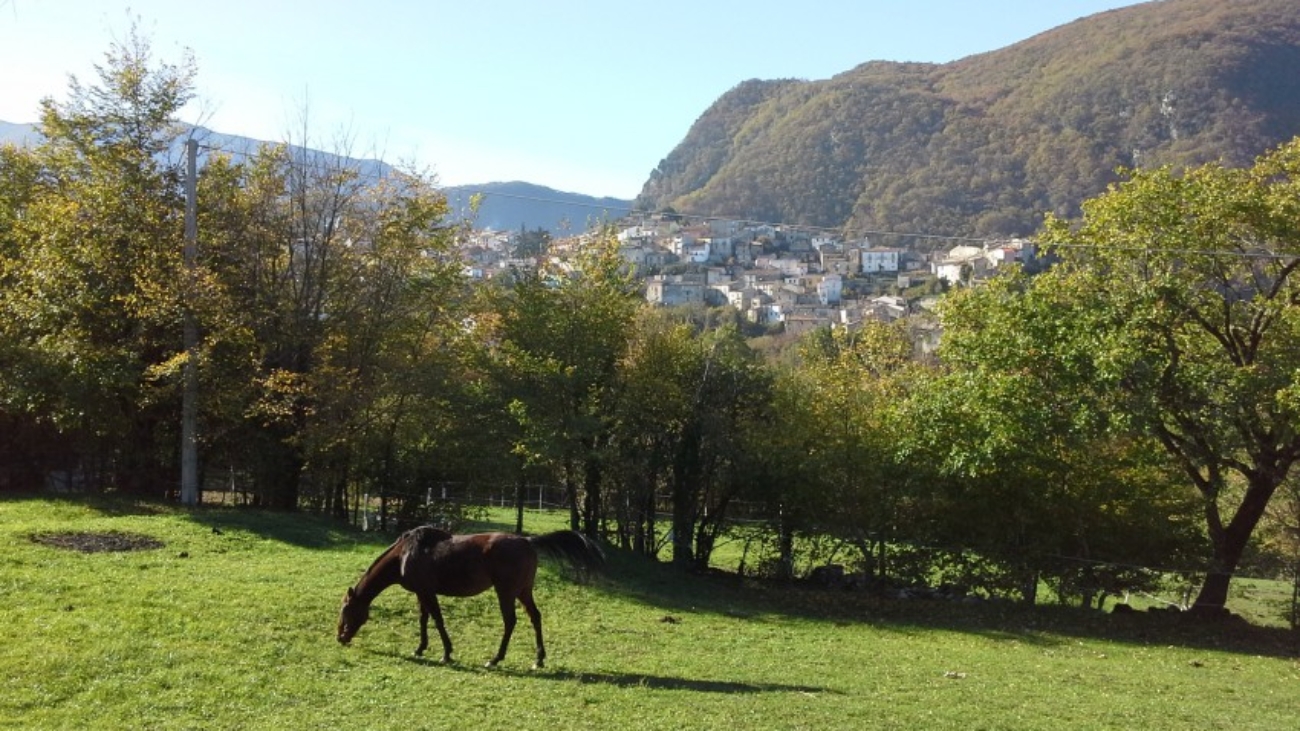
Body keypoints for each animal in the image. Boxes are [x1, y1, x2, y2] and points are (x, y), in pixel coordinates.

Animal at [337, 526, 604, 669]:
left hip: (506, 591)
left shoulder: (427, 592)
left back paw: (495, 659)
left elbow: (437, 620)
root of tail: (527, 541)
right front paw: (420, 648)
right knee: (535, 617)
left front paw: (446, 653)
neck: (405, 554)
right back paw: (539, 659)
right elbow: (424, 619)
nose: (341, 637)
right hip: (524, 591)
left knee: (510, 621)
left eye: (346, 611)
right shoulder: (421, 593)